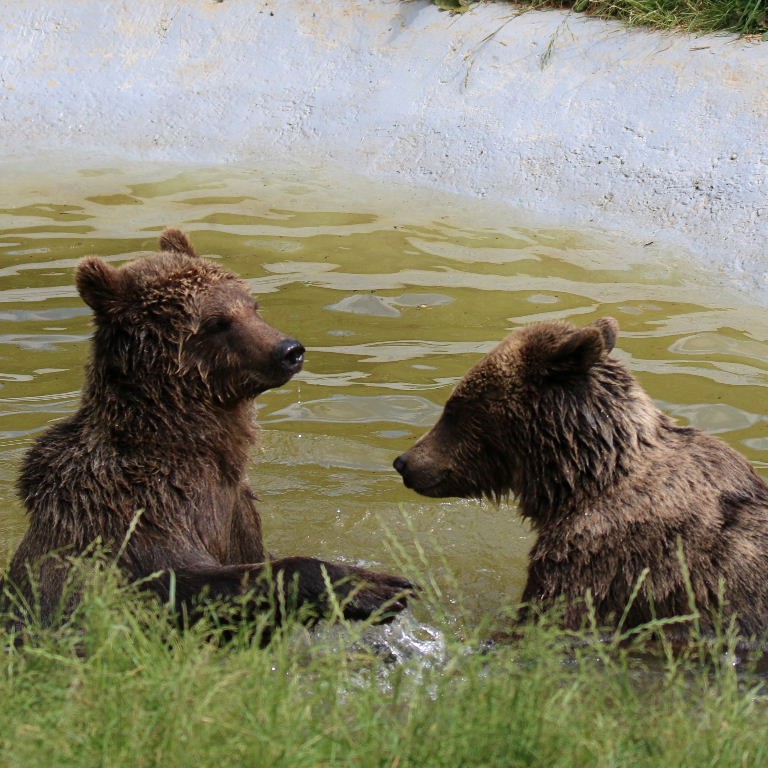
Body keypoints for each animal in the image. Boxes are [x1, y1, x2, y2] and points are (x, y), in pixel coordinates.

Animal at [6, 230, 412, 632]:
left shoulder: (235, 511)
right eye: (217, 322)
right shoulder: (134, 513)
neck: (187, 444)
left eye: (252, 305)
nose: (289, 350)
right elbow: (182, 582)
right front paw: (377, 587)